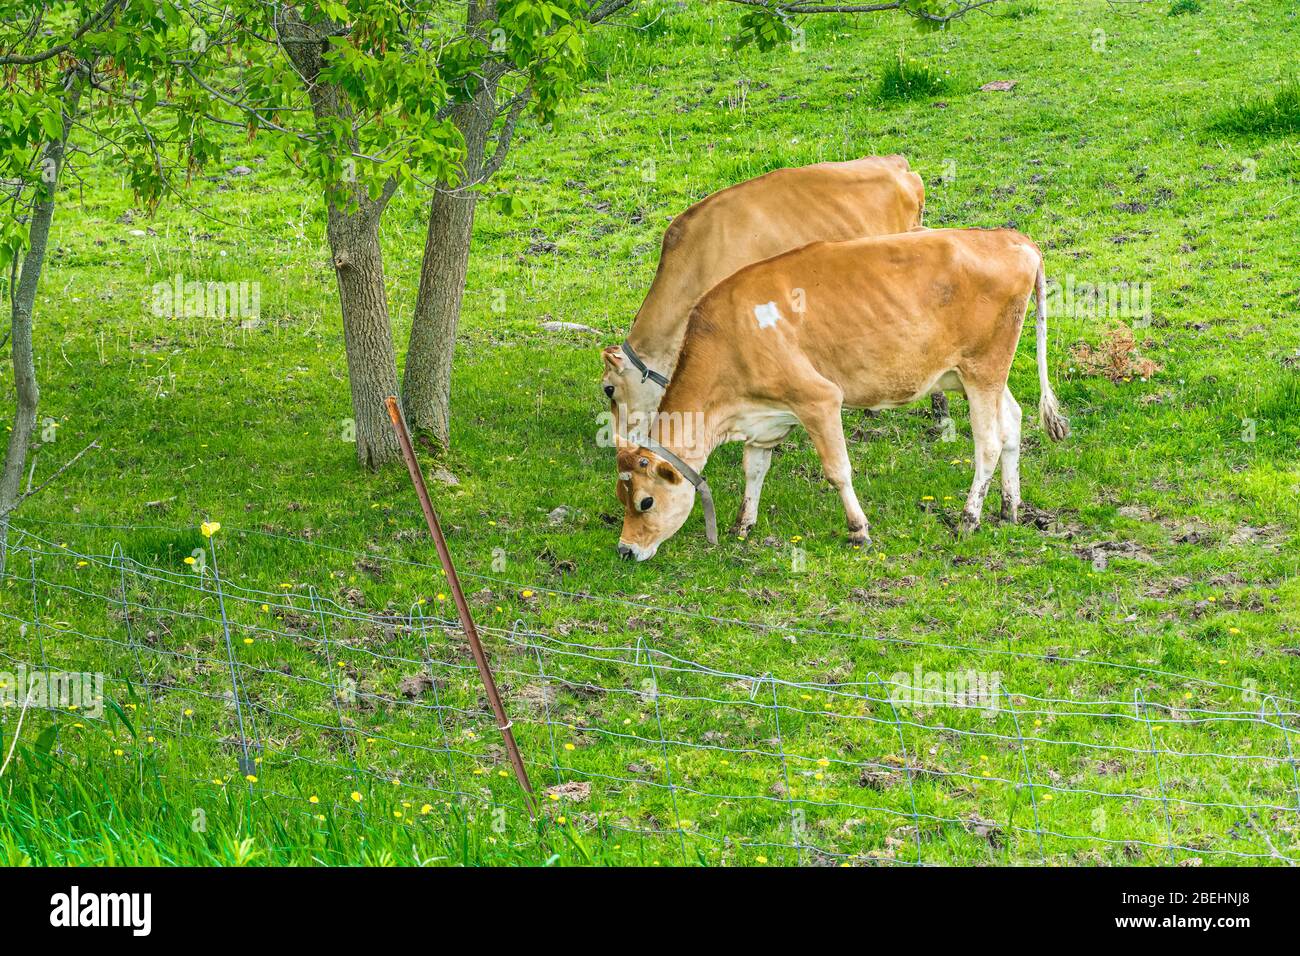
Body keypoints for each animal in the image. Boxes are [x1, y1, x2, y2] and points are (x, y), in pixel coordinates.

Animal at [613, 227, 1070, 561]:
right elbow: (753, 469)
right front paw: (743, 524)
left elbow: (837, 471)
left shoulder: (819, 399)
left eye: (646, 502)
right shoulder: (765, 417)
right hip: (977, 375)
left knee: (988, 443)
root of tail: (1009, 236)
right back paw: (1009, 509)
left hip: (982, 370)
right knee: (1012, 424)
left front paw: (859, 530)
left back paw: (969, 518)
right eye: (622, 497)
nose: (625, 550)